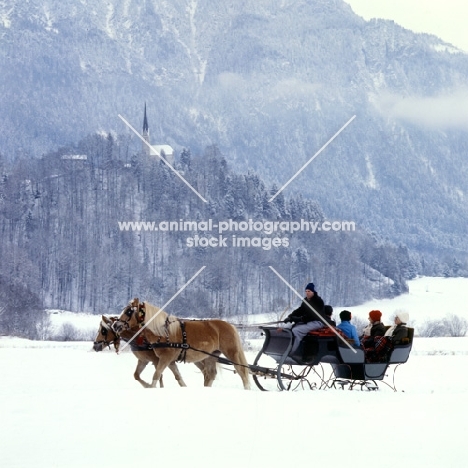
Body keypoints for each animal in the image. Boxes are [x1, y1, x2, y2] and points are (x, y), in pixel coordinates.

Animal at [113, 298, 250, 390]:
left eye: (128, 311)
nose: (115, 325)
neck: (163, 332)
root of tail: (230, 325)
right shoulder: (169, 360)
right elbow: (177, 376)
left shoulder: (164, 358)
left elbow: (157, 374)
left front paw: (151, 387)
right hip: (212, 355)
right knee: (210, 374)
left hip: (232, 352)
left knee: (242, 371)